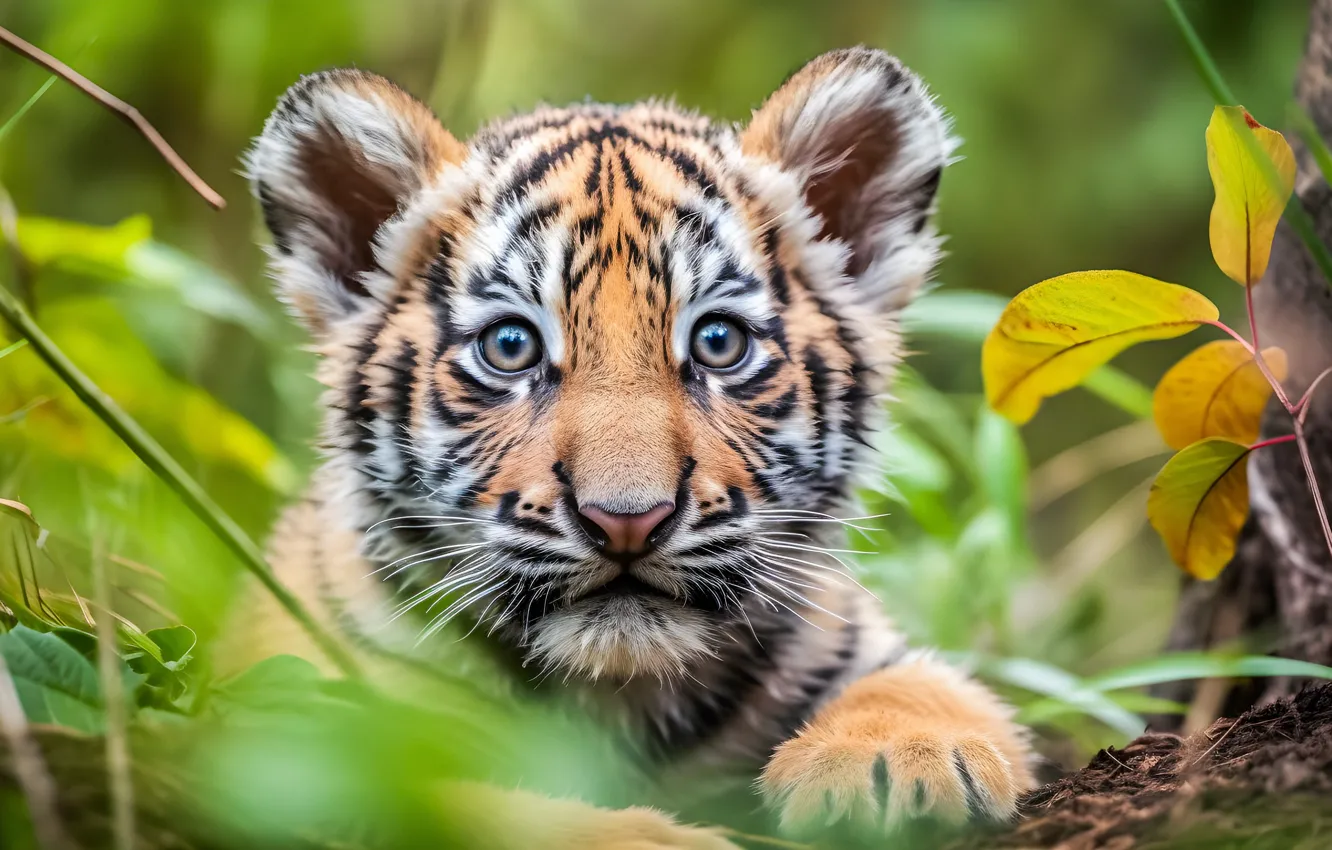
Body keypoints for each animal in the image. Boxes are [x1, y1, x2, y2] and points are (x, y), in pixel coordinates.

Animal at [238, 46, 1035, 848]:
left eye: (718, 343)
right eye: (510, 346)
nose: (627, 520)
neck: (621, 695)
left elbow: (925, 680)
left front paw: (905, 754)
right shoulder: (280, 738)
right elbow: (446, 801)